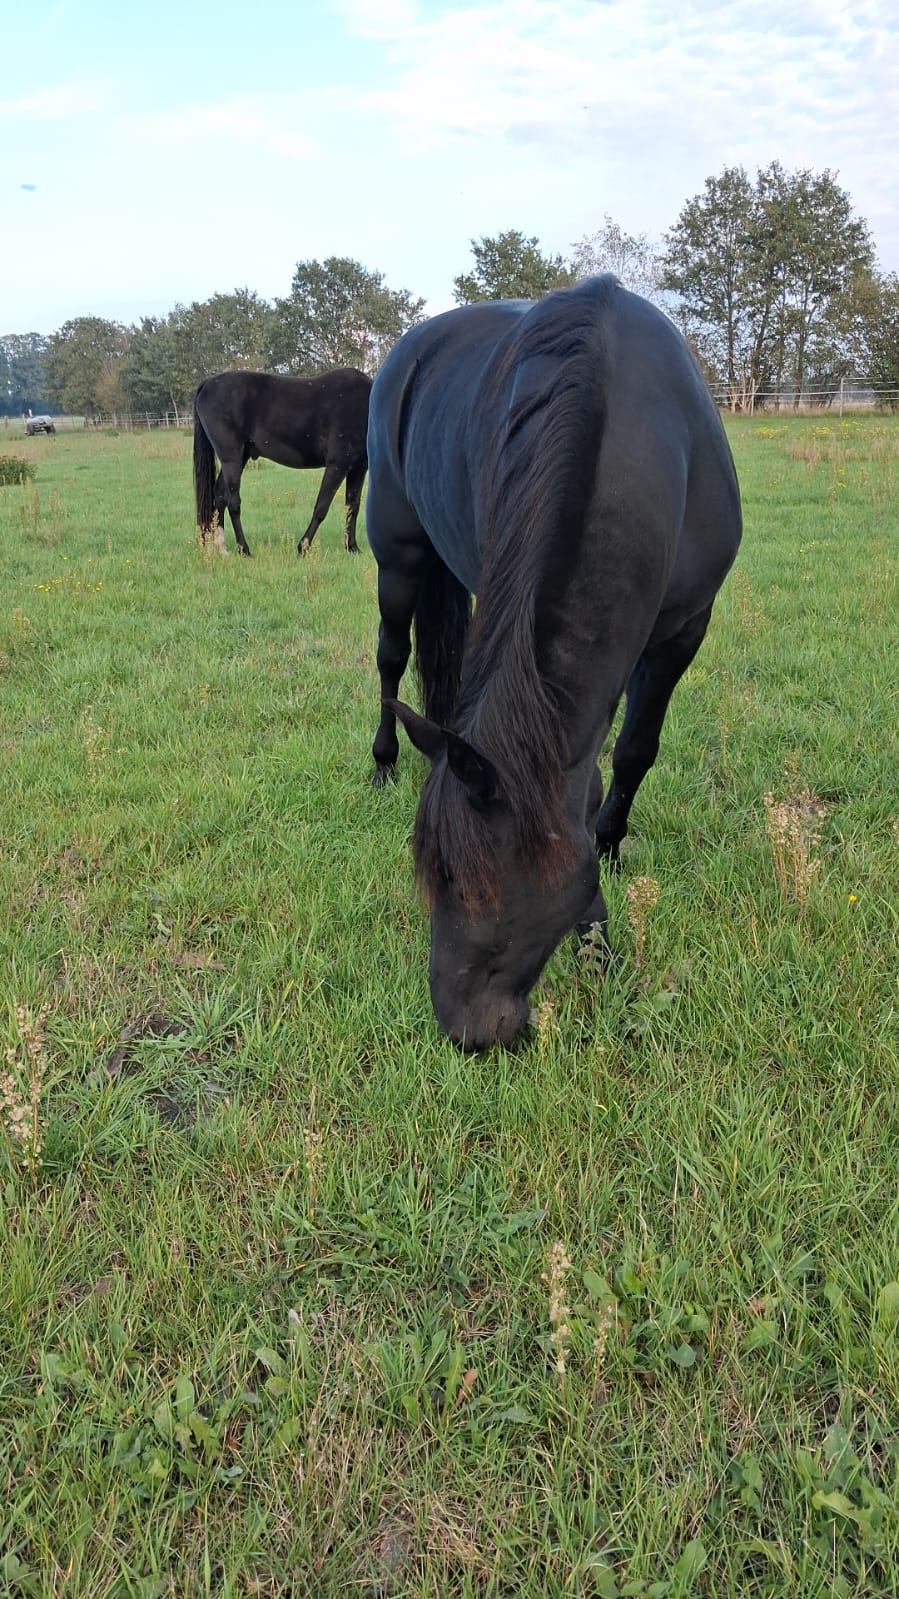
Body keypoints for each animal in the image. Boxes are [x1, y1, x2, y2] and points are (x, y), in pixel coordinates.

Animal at [192, 367, 372, 556]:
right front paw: (303, 547)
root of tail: (208, 383)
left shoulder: (358, 468)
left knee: (219, 495)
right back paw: (244, 550)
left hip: (240, 458)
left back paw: (221, 549)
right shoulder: (337, 465)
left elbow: (352, 507)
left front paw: (352, 547)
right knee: (232, 502)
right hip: (231, 458)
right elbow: (321, 507)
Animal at [365, 274, 742, 1050]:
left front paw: (609, 857)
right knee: (391, 656)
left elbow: (632, 753)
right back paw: (384, 761)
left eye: (482, 886)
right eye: (435, 879)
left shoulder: (682, 631)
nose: (467, 1032)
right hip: (399, 555)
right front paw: (597, 938)